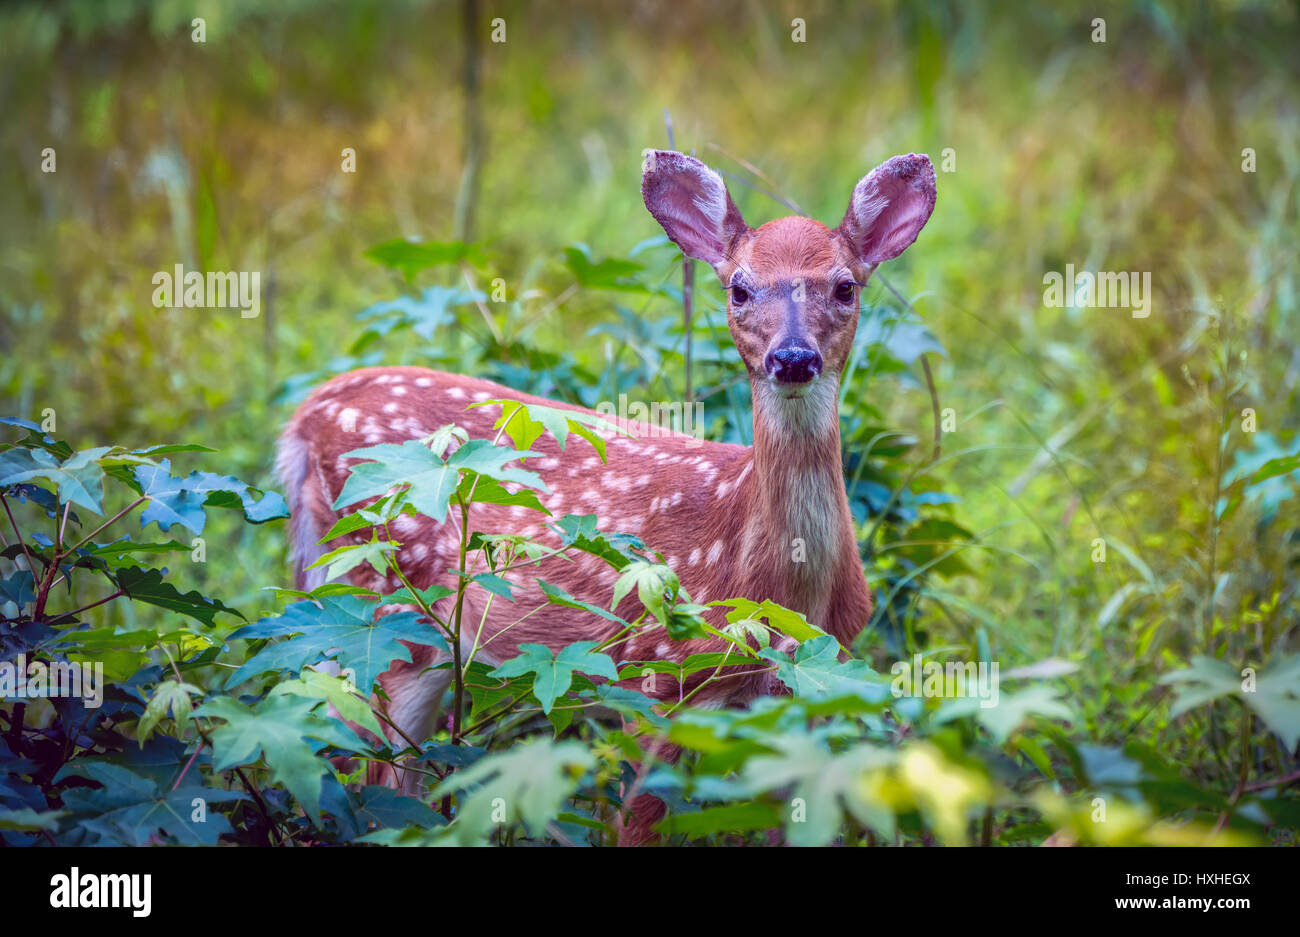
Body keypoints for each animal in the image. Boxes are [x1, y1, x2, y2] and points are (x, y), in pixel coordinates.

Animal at [276, 146, 935, 842]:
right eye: (738, 287)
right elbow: (637, 820)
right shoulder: (653, 673)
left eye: (845, 286)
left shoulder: (814, 686)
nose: (792, 358)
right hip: (386, 596)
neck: (767, 581)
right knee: (371, 761)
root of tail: (304, 418)